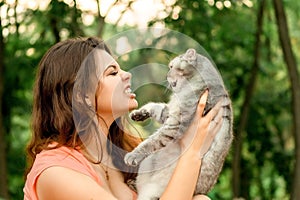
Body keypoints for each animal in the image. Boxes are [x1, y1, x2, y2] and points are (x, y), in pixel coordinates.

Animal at [123, 48, 233, 200]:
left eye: (171, 66)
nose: (167, 74)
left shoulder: (174, 125)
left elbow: (150, 142)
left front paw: (132, 155)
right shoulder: (169, 112)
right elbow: (156, 107)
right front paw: (139, 113)